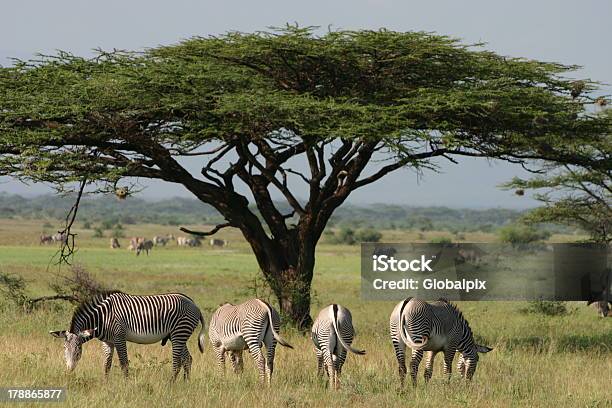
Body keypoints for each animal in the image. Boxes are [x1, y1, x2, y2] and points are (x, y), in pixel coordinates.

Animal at [48, 290, 206, 380]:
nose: (69, 370)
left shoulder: (119, 337)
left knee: (177, 362)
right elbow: (106, 364)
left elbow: (123, 363)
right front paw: (105, 384)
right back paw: (185, 384)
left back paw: (170, 384)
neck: (102, 318)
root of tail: (194, 303)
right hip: (177, 335)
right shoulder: (108, 342)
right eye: (64, 348)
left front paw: (126, 384)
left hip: (179, 333)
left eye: (79, 349)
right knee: (188, 359)